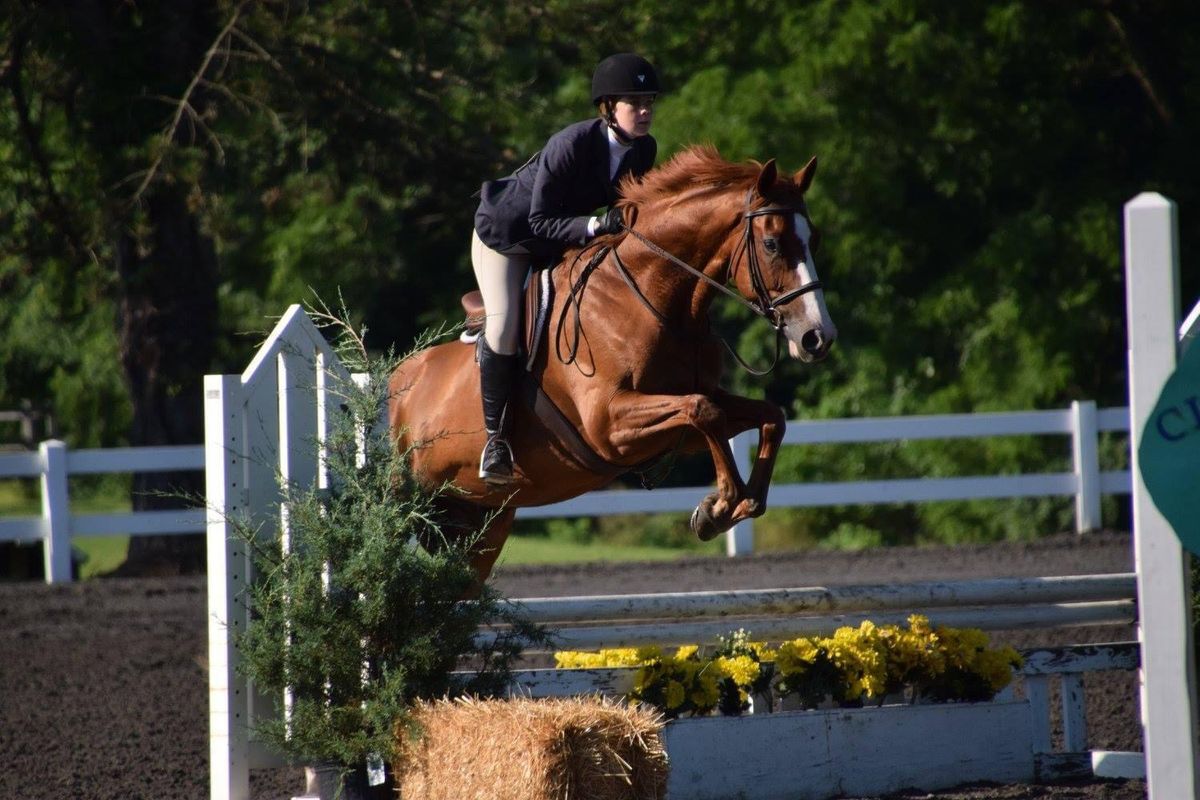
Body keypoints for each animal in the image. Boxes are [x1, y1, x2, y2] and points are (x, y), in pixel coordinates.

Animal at [388, 145, 840, 587]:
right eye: (772, 245)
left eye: (815, 240)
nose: (817, 337)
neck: (654, 301)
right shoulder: (608, 426)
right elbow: (702, 410)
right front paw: (720, 506)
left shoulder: (677, 430)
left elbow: (767, 416)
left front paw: (728, 508)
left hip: (478, 521)